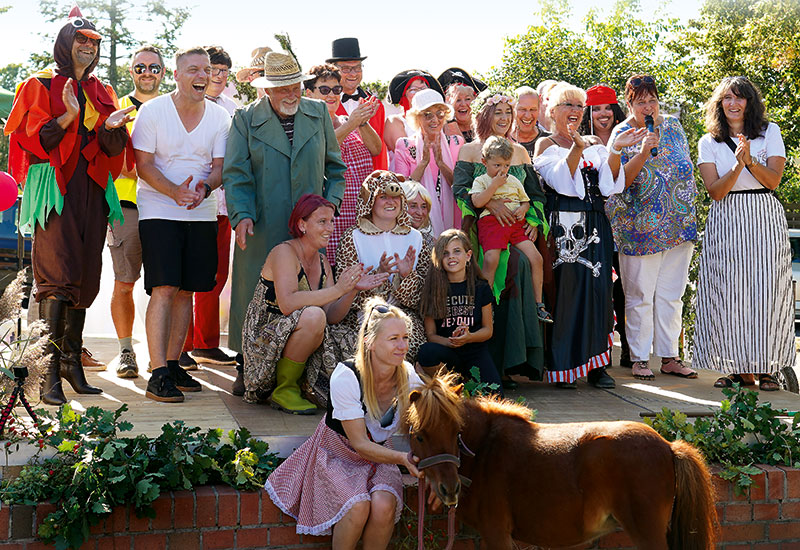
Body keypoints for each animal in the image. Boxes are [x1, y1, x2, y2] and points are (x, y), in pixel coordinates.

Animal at [406, 376, 720, 550]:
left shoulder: (496, 534)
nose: (449, 490)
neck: (485, 448)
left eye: (456, 432)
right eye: (420, 436)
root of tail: (669, 446)